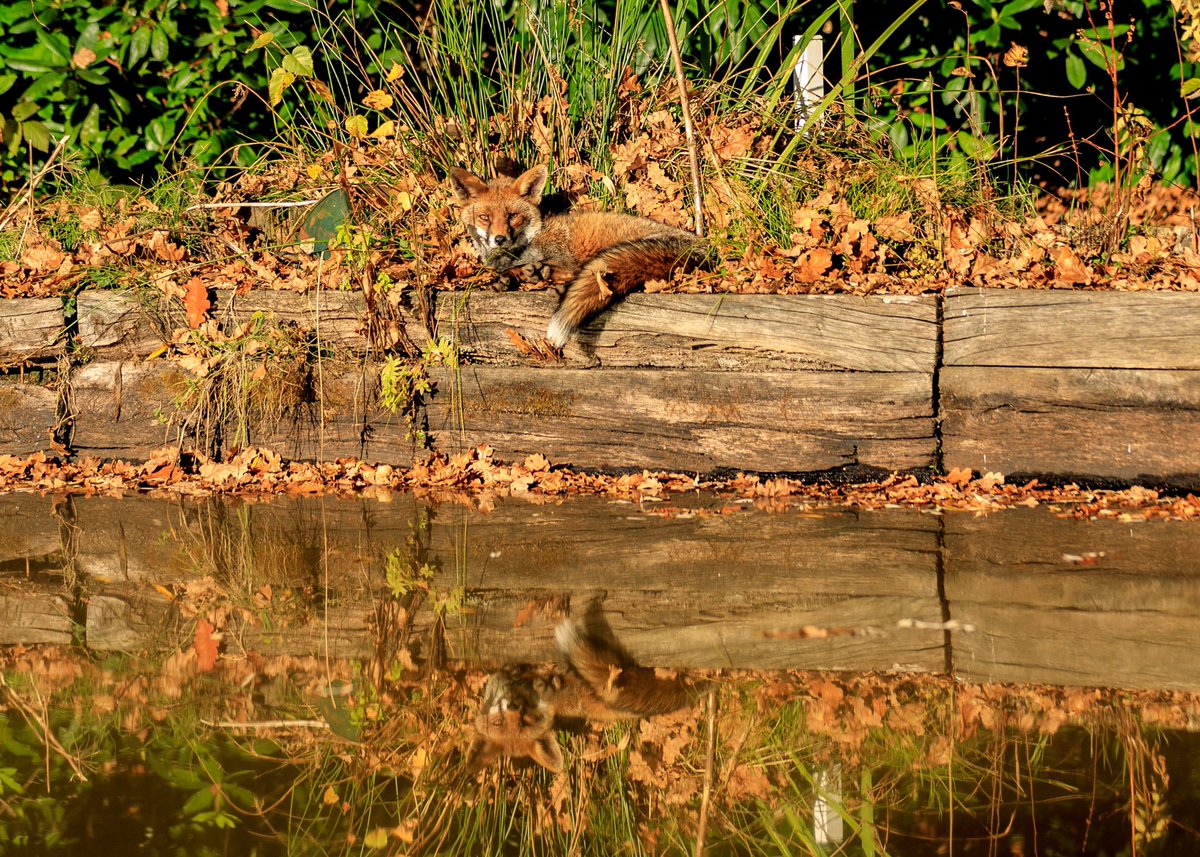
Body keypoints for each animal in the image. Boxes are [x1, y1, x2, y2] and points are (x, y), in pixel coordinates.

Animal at [448, 163, 705, 348]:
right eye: (485, 218)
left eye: (512, 216)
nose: (499, 239)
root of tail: (703, 247)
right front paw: (512, 277)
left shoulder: (561, 253)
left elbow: (542, 266)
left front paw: (520, 274)